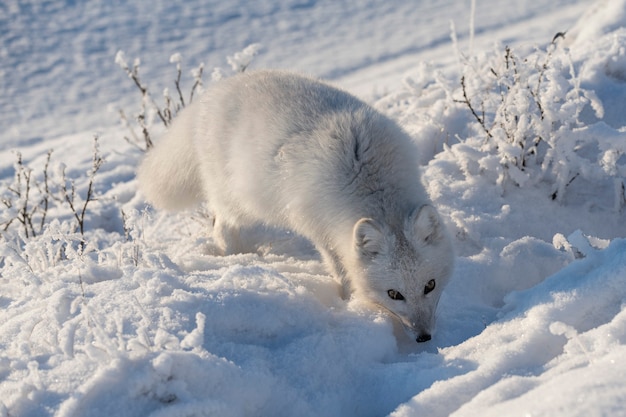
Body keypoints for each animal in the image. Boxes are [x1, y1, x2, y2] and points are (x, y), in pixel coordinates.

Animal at [136, 70, 450, 342]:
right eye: (394, 294)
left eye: (430, 285)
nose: (424, 337)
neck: (372, 184)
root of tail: (212, 95)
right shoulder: (320, 227)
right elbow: (339, 268)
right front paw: (347, 300)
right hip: (236, 201)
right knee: (222, 228)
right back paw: (235, 258)